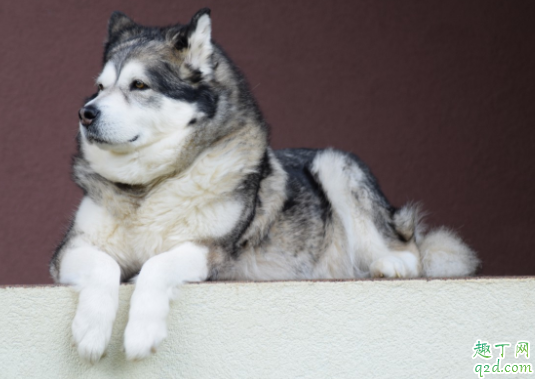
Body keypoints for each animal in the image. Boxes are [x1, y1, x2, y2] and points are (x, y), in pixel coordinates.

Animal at [50, 8, 480, 364]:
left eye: (139, 85)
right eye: (100, 87)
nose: (85, 114)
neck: (151, 185)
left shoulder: (210, 251)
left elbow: (157, 265)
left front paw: (141, 332)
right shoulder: (69, 252)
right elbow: (104, 264)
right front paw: (91, 330)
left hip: (335, 162)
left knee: (409, 248)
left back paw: (391, 263)